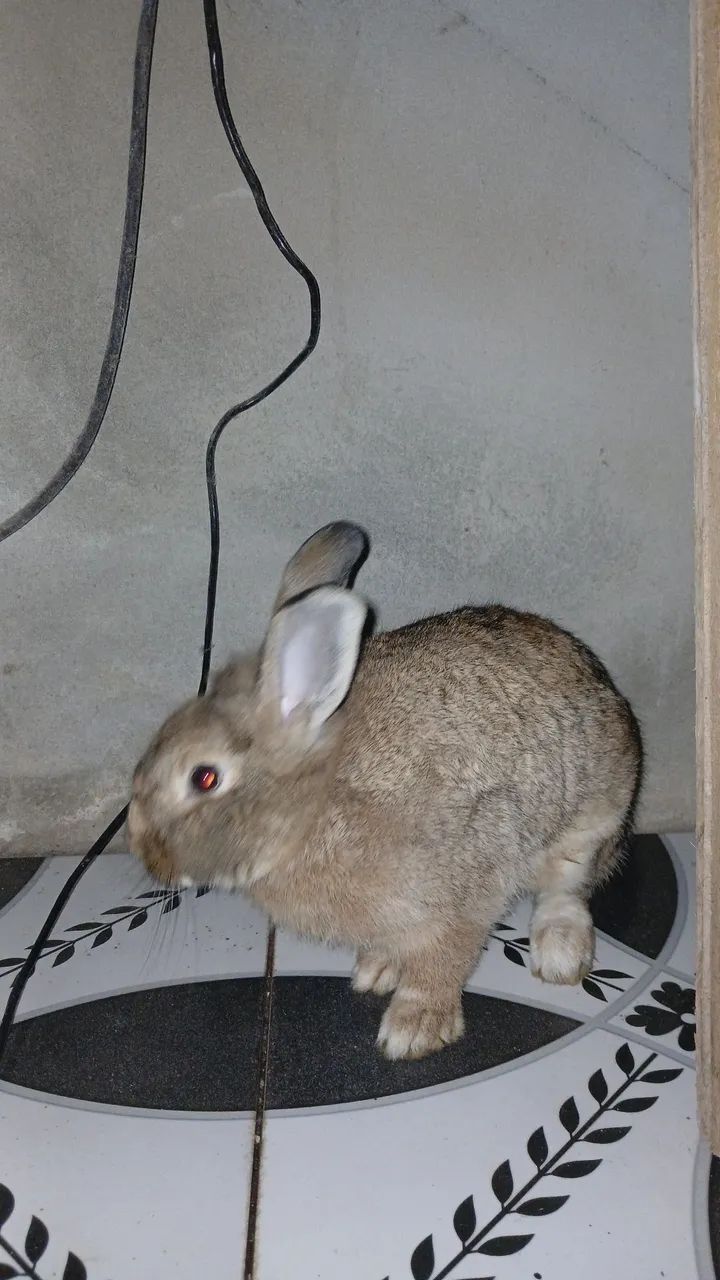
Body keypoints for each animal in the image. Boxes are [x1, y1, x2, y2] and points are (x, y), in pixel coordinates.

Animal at [128, 521, 643, 1061]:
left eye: (204, 778)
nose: (144, 853)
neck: (313, 812)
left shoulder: (467, 895)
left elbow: (444, 961)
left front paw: (413, 1028)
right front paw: (379, 968)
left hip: (587, 828)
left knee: (566, 892)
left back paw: (559, 954)